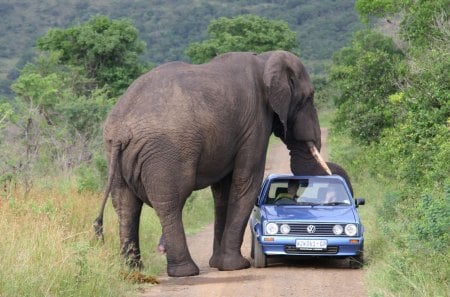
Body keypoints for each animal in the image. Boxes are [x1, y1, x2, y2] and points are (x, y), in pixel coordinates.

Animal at [92, 50, 330, 276]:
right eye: (309, 97)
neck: (265, 59)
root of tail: (121, 131)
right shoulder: (255, 124)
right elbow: (247, 181)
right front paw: (236, 266)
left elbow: (223, 191)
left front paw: (218, 264)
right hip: (165, 153)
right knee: (170, 203)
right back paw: (185, 272)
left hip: (115, 154)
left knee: (126, 206)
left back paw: (132, 270)